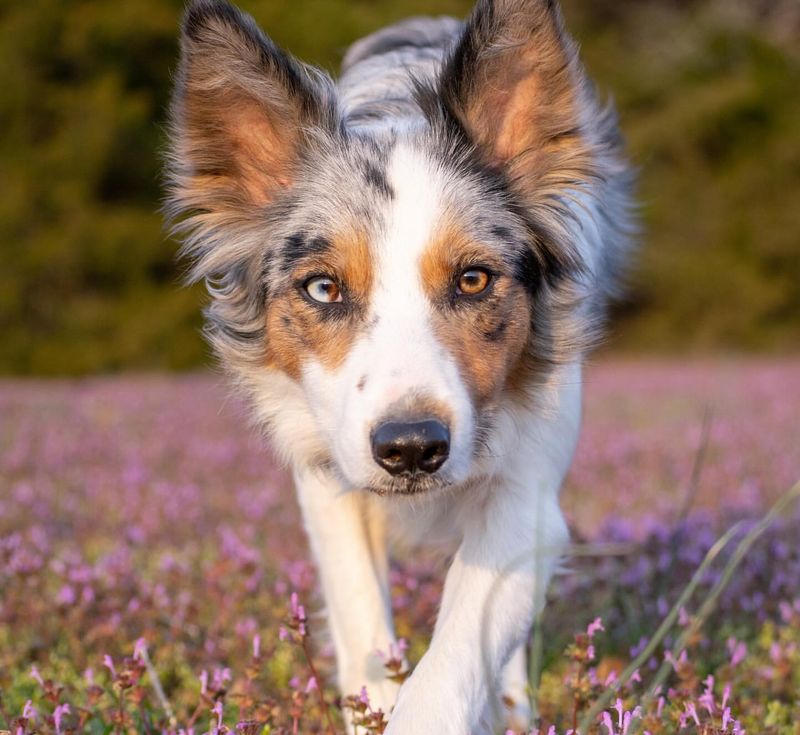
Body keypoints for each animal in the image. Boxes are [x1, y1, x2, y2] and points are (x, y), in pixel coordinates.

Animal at [166, 1, 636, 732]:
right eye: (323, 288)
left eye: (473, 280)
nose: (412, 448)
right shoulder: (327, 473)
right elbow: (361, 614)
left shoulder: (526, 496)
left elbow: (458, 649)